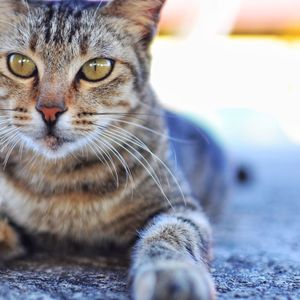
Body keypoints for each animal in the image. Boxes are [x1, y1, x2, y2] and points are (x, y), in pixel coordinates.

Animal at [0, 0, 227, 300]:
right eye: (20, 63)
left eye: (97, 68)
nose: (49, 110)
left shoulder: (180, 205)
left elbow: (172, 232)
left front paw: (172, 273)